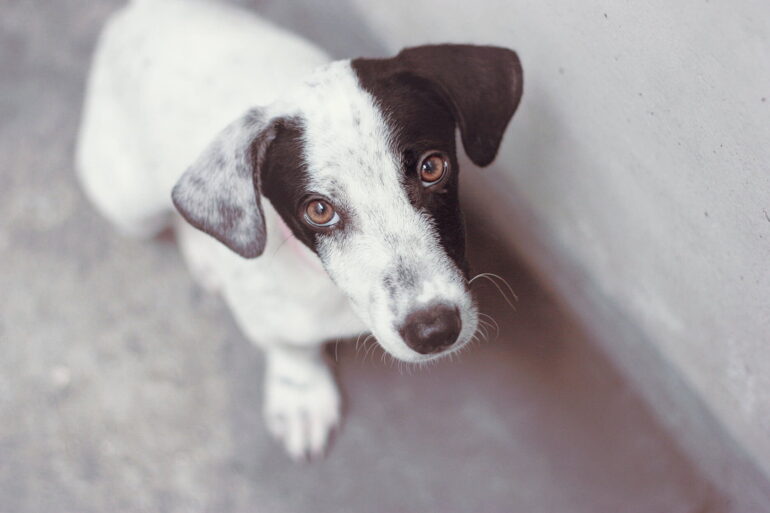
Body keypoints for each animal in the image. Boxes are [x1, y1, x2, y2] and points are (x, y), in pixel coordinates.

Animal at [76, 0, 520, 458]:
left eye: (433, 167)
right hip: (130, 204)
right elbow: (290, 347)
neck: (331, 290)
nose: (434, 331)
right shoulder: (266, 313)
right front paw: (301, 394)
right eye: (319, 210)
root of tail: (137, 11)